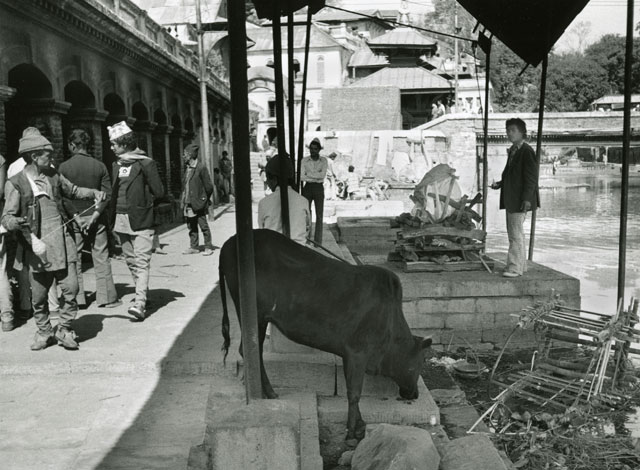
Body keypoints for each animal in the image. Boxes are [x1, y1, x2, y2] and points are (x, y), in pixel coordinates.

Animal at [219, 229, 430, 440]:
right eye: (420, 362)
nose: (415, 394)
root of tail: (229, 243)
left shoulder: (348, 355)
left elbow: (350, 388)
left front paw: (359, 424)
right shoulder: (357, 353)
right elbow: (354, 393)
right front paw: (351, 433)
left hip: (259, 318)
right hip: (253, 314)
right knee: (249, 351)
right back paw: (269, 392)